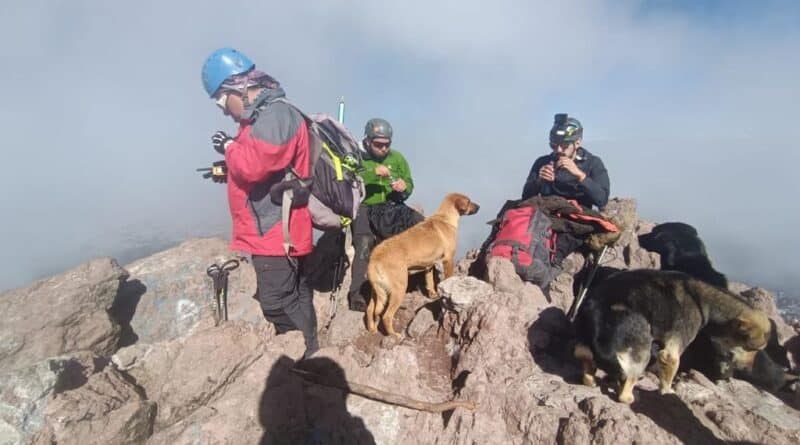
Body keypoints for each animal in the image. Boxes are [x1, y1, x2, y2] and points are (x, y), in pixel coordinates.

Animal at [366, 192, 478, 336]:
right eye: (469, 201)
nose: (479, 206)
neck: (445, 218)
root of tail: (375, 258)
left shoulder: (428, 266)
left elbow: (430, 282)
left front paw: (433, 294)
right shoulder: (448, 259)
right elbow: (448, 277)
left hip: (377, 292)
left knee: (370, 310)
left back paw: (372, 329)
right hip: (399, 289)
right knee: (386, 316)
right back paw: (394, 335)